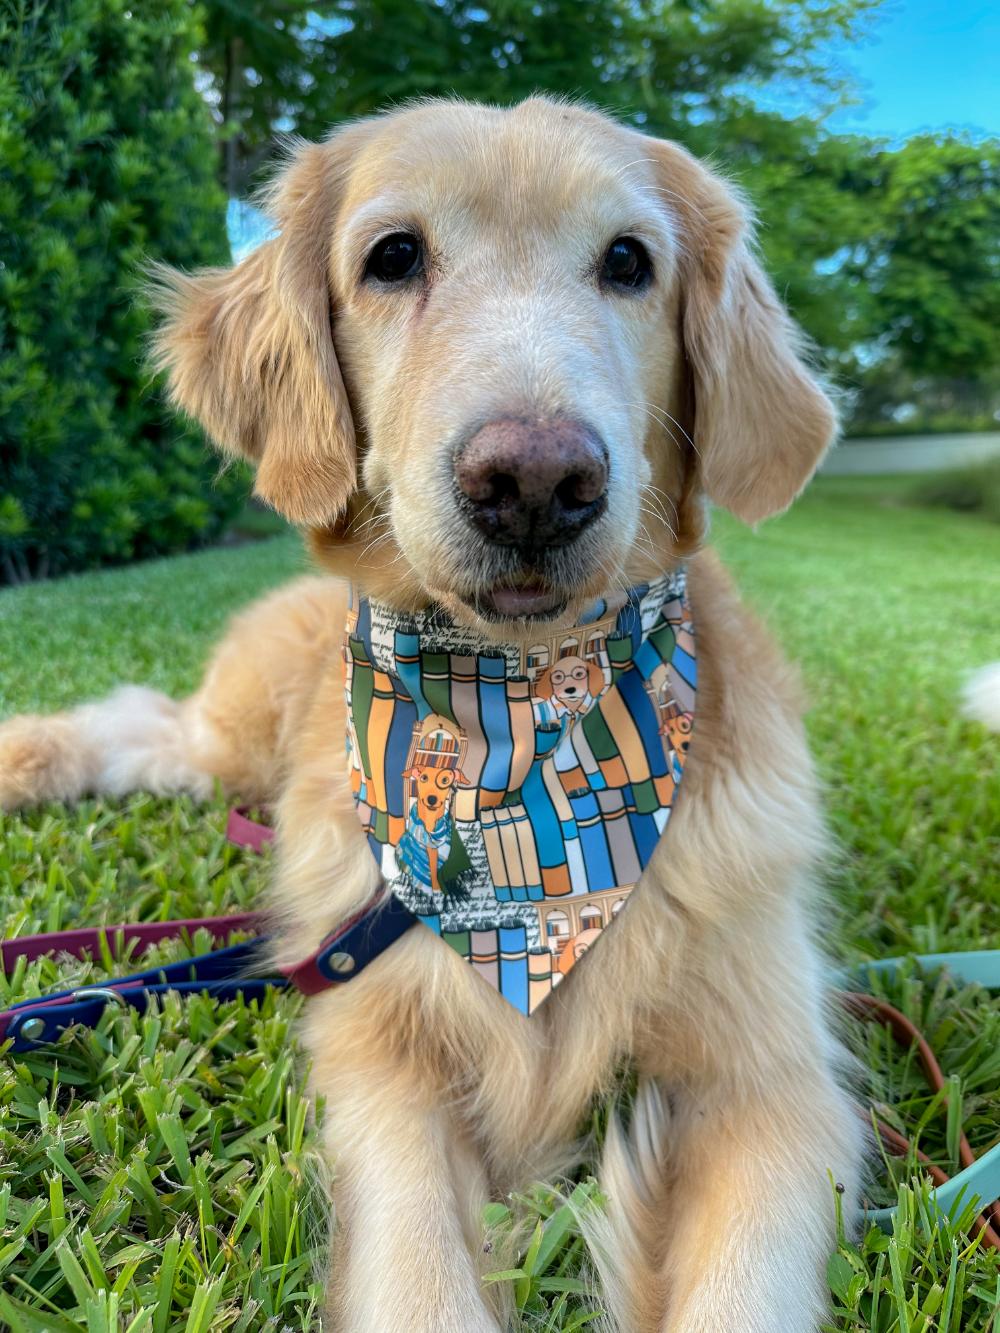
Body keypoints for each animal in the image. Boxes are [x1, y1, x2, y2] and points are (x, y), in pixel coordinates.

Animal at [0, 96, 864, 1333]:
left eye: (628, 262)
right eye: (394, 257)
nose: (535, 483)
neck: (519, 723)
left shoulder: (774, 1082)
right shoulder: (377, 1037)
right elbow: (416, 1265)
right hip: (234, 737)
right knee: (141, 722)